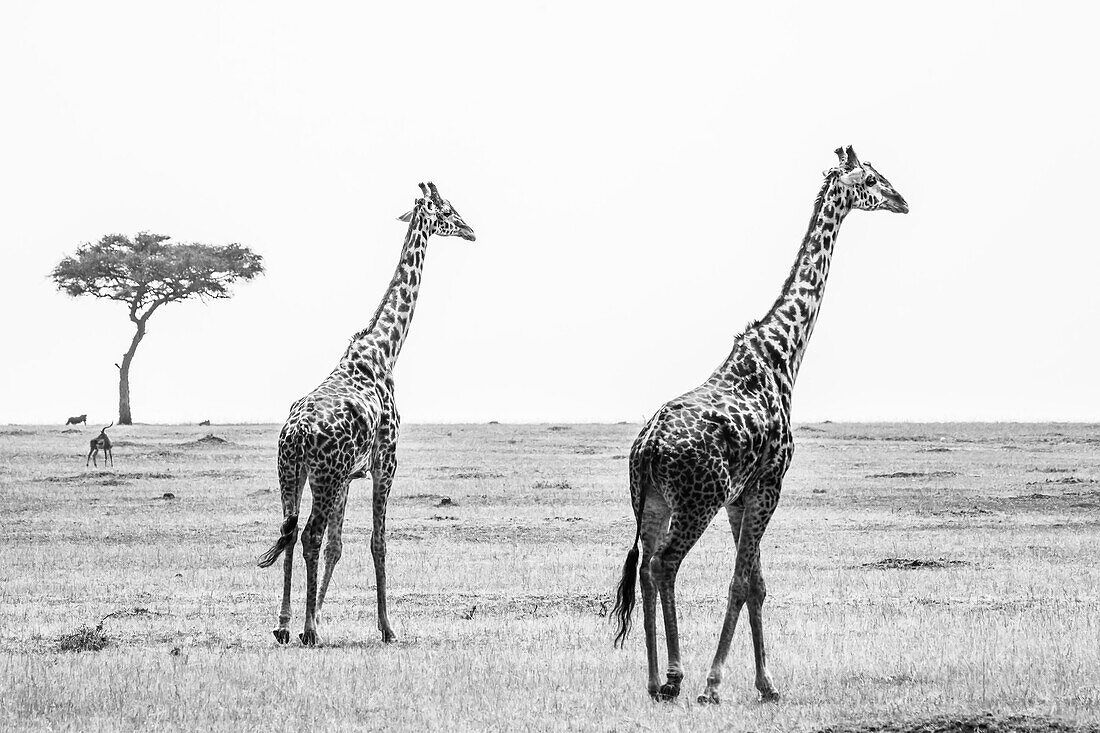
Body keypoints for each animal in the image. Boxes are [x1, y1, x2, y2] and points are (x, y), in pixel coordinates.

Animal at [260, 181, 477, 647]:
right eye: (447, 210)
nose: (471, 230)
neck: (384, 350)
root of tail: (296, 435)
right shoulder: (384, 462)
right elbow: (377, 542)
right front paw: (386, 627)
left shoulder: (348, 476)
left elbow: (337, 545)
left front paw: (316, 612)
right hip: (322, 477)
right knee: (307, 534)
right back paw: (307, 632)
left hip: (293, 473)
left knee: (290, 532)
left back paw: (285, 625)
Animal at [611, 147, 910, 704]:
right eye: (873, 179)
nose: (902, 200)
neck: (785, 352)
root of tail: (647, 448)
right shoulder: (770, 483)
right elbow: (740, 581)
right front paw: (714, 683)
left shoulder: (741, 494)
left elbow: (756, 585)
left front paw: (767, 683)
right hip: (696, 500)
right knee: (664, 563)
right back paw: (677, 676)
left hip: (654, 498)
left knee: (644, 568)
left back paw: (652, 679)